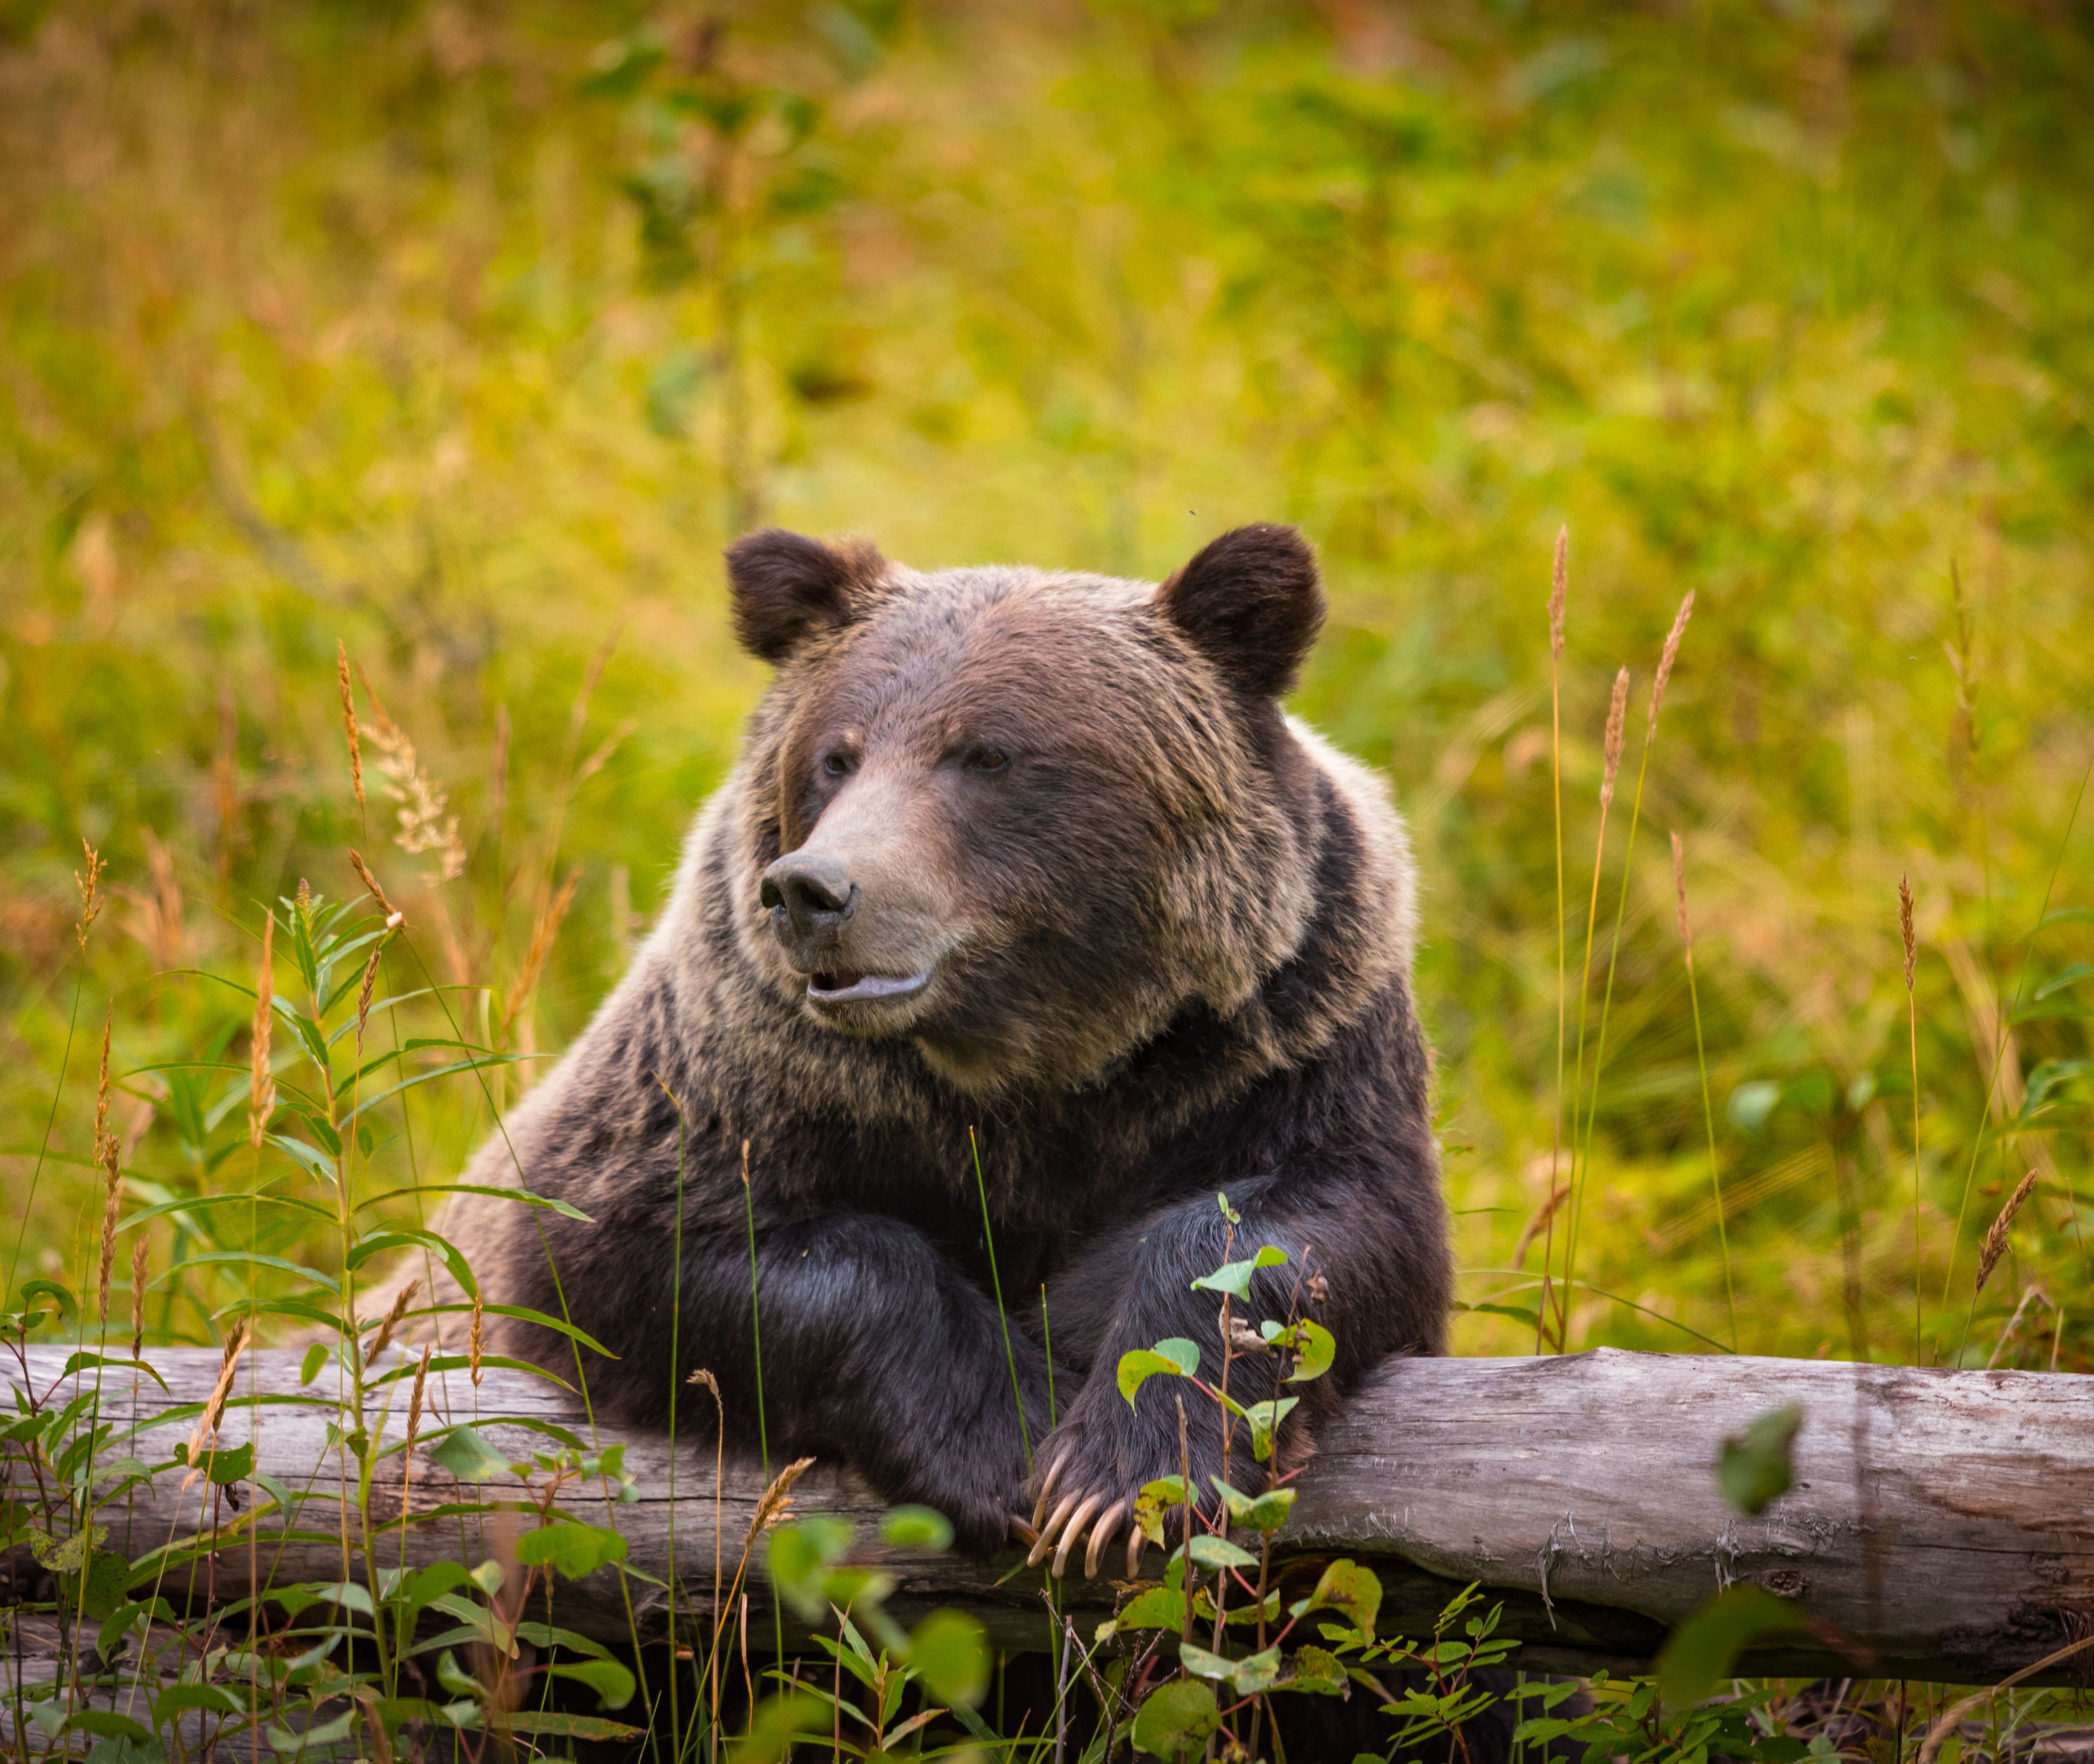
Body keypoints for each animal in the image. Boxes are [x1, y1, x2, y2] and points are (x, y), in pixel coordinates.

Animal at [432, 522, 1451, 1582]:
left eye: (987, 752)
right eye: (835, 756)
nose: (812, 890)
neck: (1027, 1064)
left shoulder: (1287, 1045)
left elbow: (1303, 1225)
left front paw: (1117, 1474)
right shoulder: (739, 1078)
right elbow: (650, 1241)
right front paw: (1009, 1439)